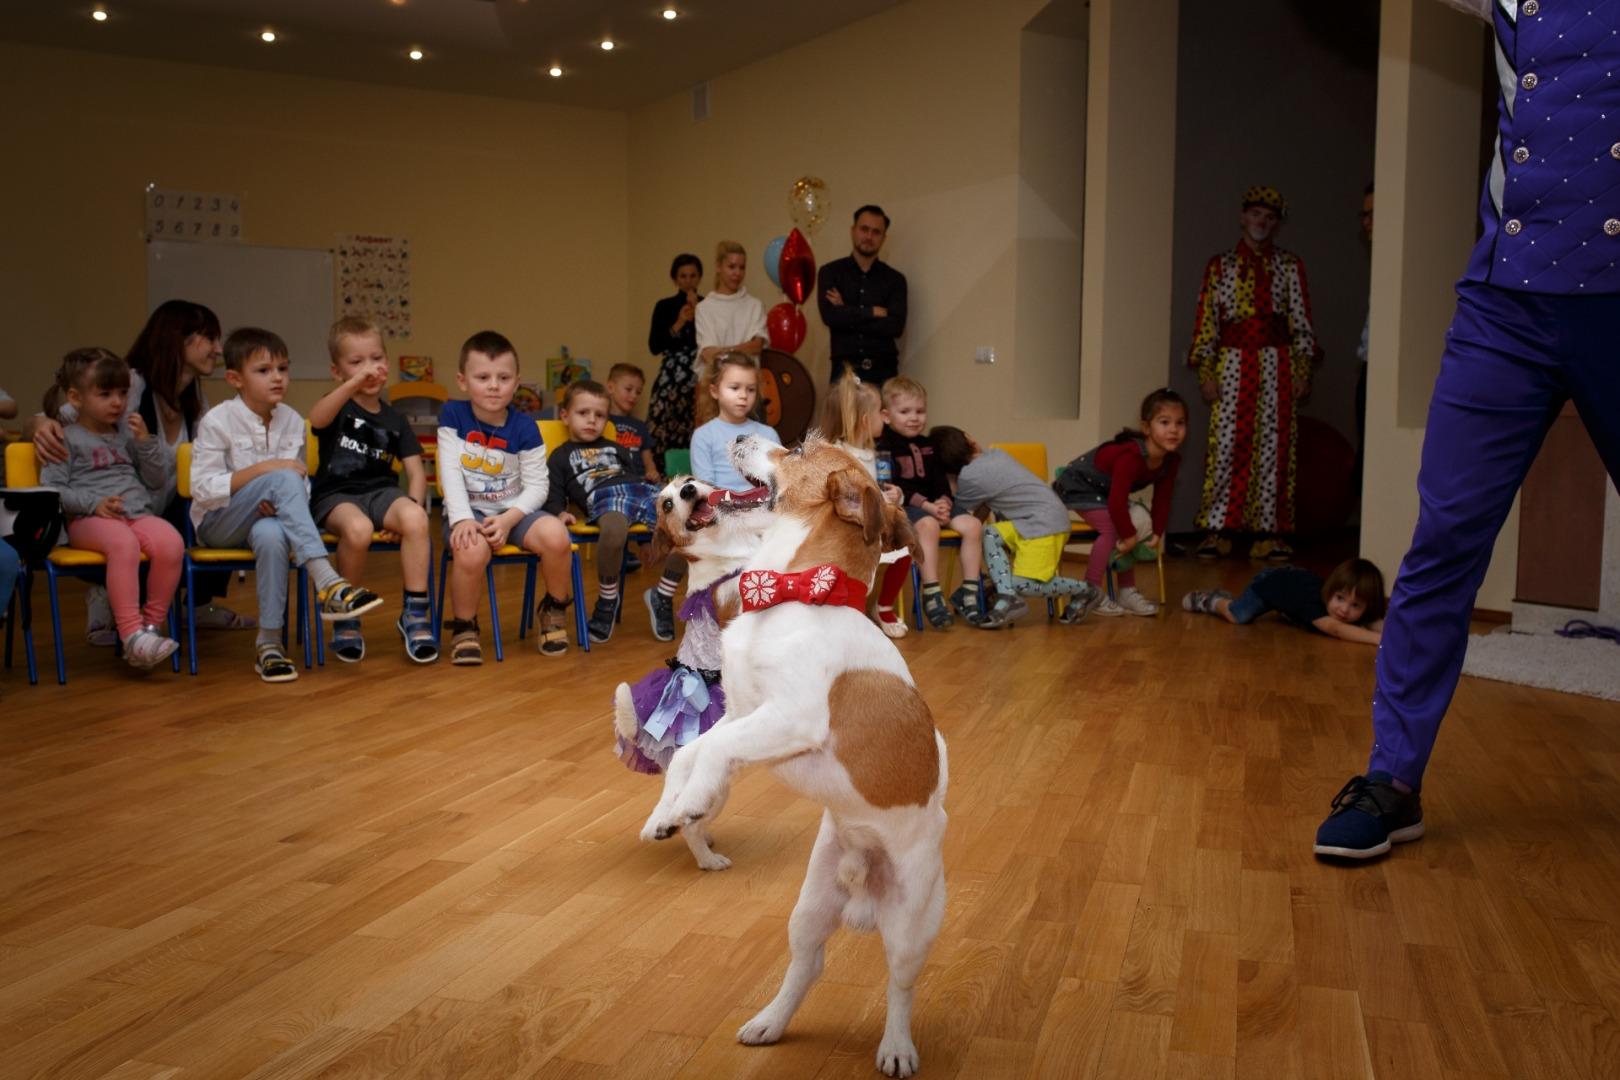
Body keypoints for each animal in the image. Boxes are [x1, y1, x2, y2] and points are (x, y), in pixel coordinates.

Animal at [638, 433, 946, 1075]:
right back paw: (770, 1023)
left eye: (800, 448)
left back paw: (896, 1047)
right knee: (809, 965)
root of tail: (861, 871)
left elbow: (713, 750)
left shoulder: (790, 716)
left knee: (899, 986)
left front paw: (693, 805)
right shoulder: (742, 711)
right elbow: (690, 751)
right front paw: (666, 813)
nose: (738, 434)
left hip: (911, 926)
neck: (794, 592)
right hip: (809, 909)